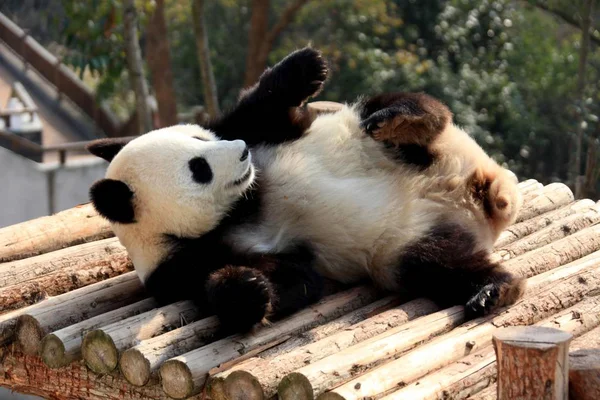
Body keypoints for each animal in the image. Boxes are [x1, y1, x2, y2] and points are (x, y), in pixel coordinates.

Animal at [86, 47, 524, 332]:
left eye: (198, 138)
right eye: (199, 169)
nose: (242, 154)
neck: (241, 204)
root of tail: (477, 197)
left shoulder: (256, 131)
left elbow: (260, 108)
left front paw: (306, 64)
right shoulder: (181, 265)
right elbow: (294, 279)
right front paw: (247, 290)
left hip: (393, 142)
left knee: (400, 112)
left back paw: (398, 120)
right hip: (406, 243)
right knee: (436, 264)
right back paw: (493, 289)